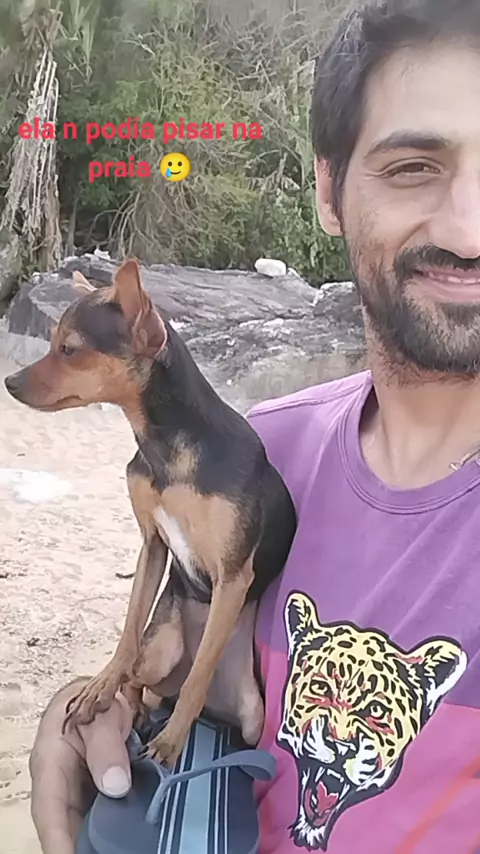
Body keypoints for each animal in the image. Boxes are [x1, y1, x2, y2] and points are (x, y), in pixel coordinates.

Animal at [4, 258, 297, 765]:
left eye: (69, 349)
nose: (9, 382)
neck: (167, 450)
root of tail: (220, 710)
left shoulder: (232, 576)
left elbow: (198, 677)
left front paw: (173, 739)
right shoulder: (152, 546)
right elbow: (128, 628)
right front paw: (102, 684)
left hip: (251, 713)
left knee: (195, 686)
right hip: (161, 649)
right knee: (139, 676)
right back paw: (130, 705)